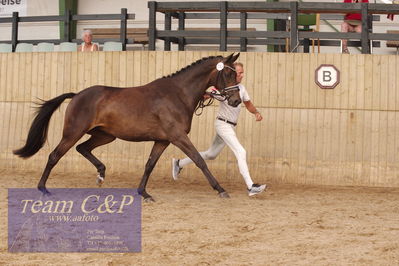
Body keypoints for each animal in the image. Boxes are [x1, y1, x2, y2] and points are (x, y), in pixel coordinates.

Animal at [14, 53, 242, 201]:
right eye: (228, 74)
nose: (236, 101)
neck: (177, 94)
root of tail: (77, 95)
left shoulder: (162, 140)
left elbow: (149, 165)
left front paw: (144, 193)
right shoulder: (177, 137)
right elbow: (198, 160)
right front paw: (220, 189)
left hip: (105, 135)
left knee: (83, 148)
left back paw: (101, 174)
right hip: (73, 132)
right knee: (55, 155)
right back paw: (43, 189)